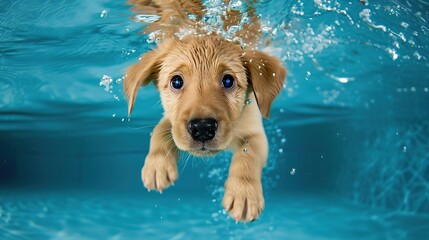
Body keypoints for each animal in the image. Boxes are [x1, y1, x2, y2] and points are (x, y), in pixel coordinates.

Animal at [123, 0, 286, 222]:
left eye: (228, 81)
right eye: (176, 81)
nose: (202, 128)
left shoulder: (255, 130)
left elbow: (247, 154)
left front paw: (243, 193)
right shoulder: (171, 120)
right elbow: (160, 131)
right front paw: (157, 165)